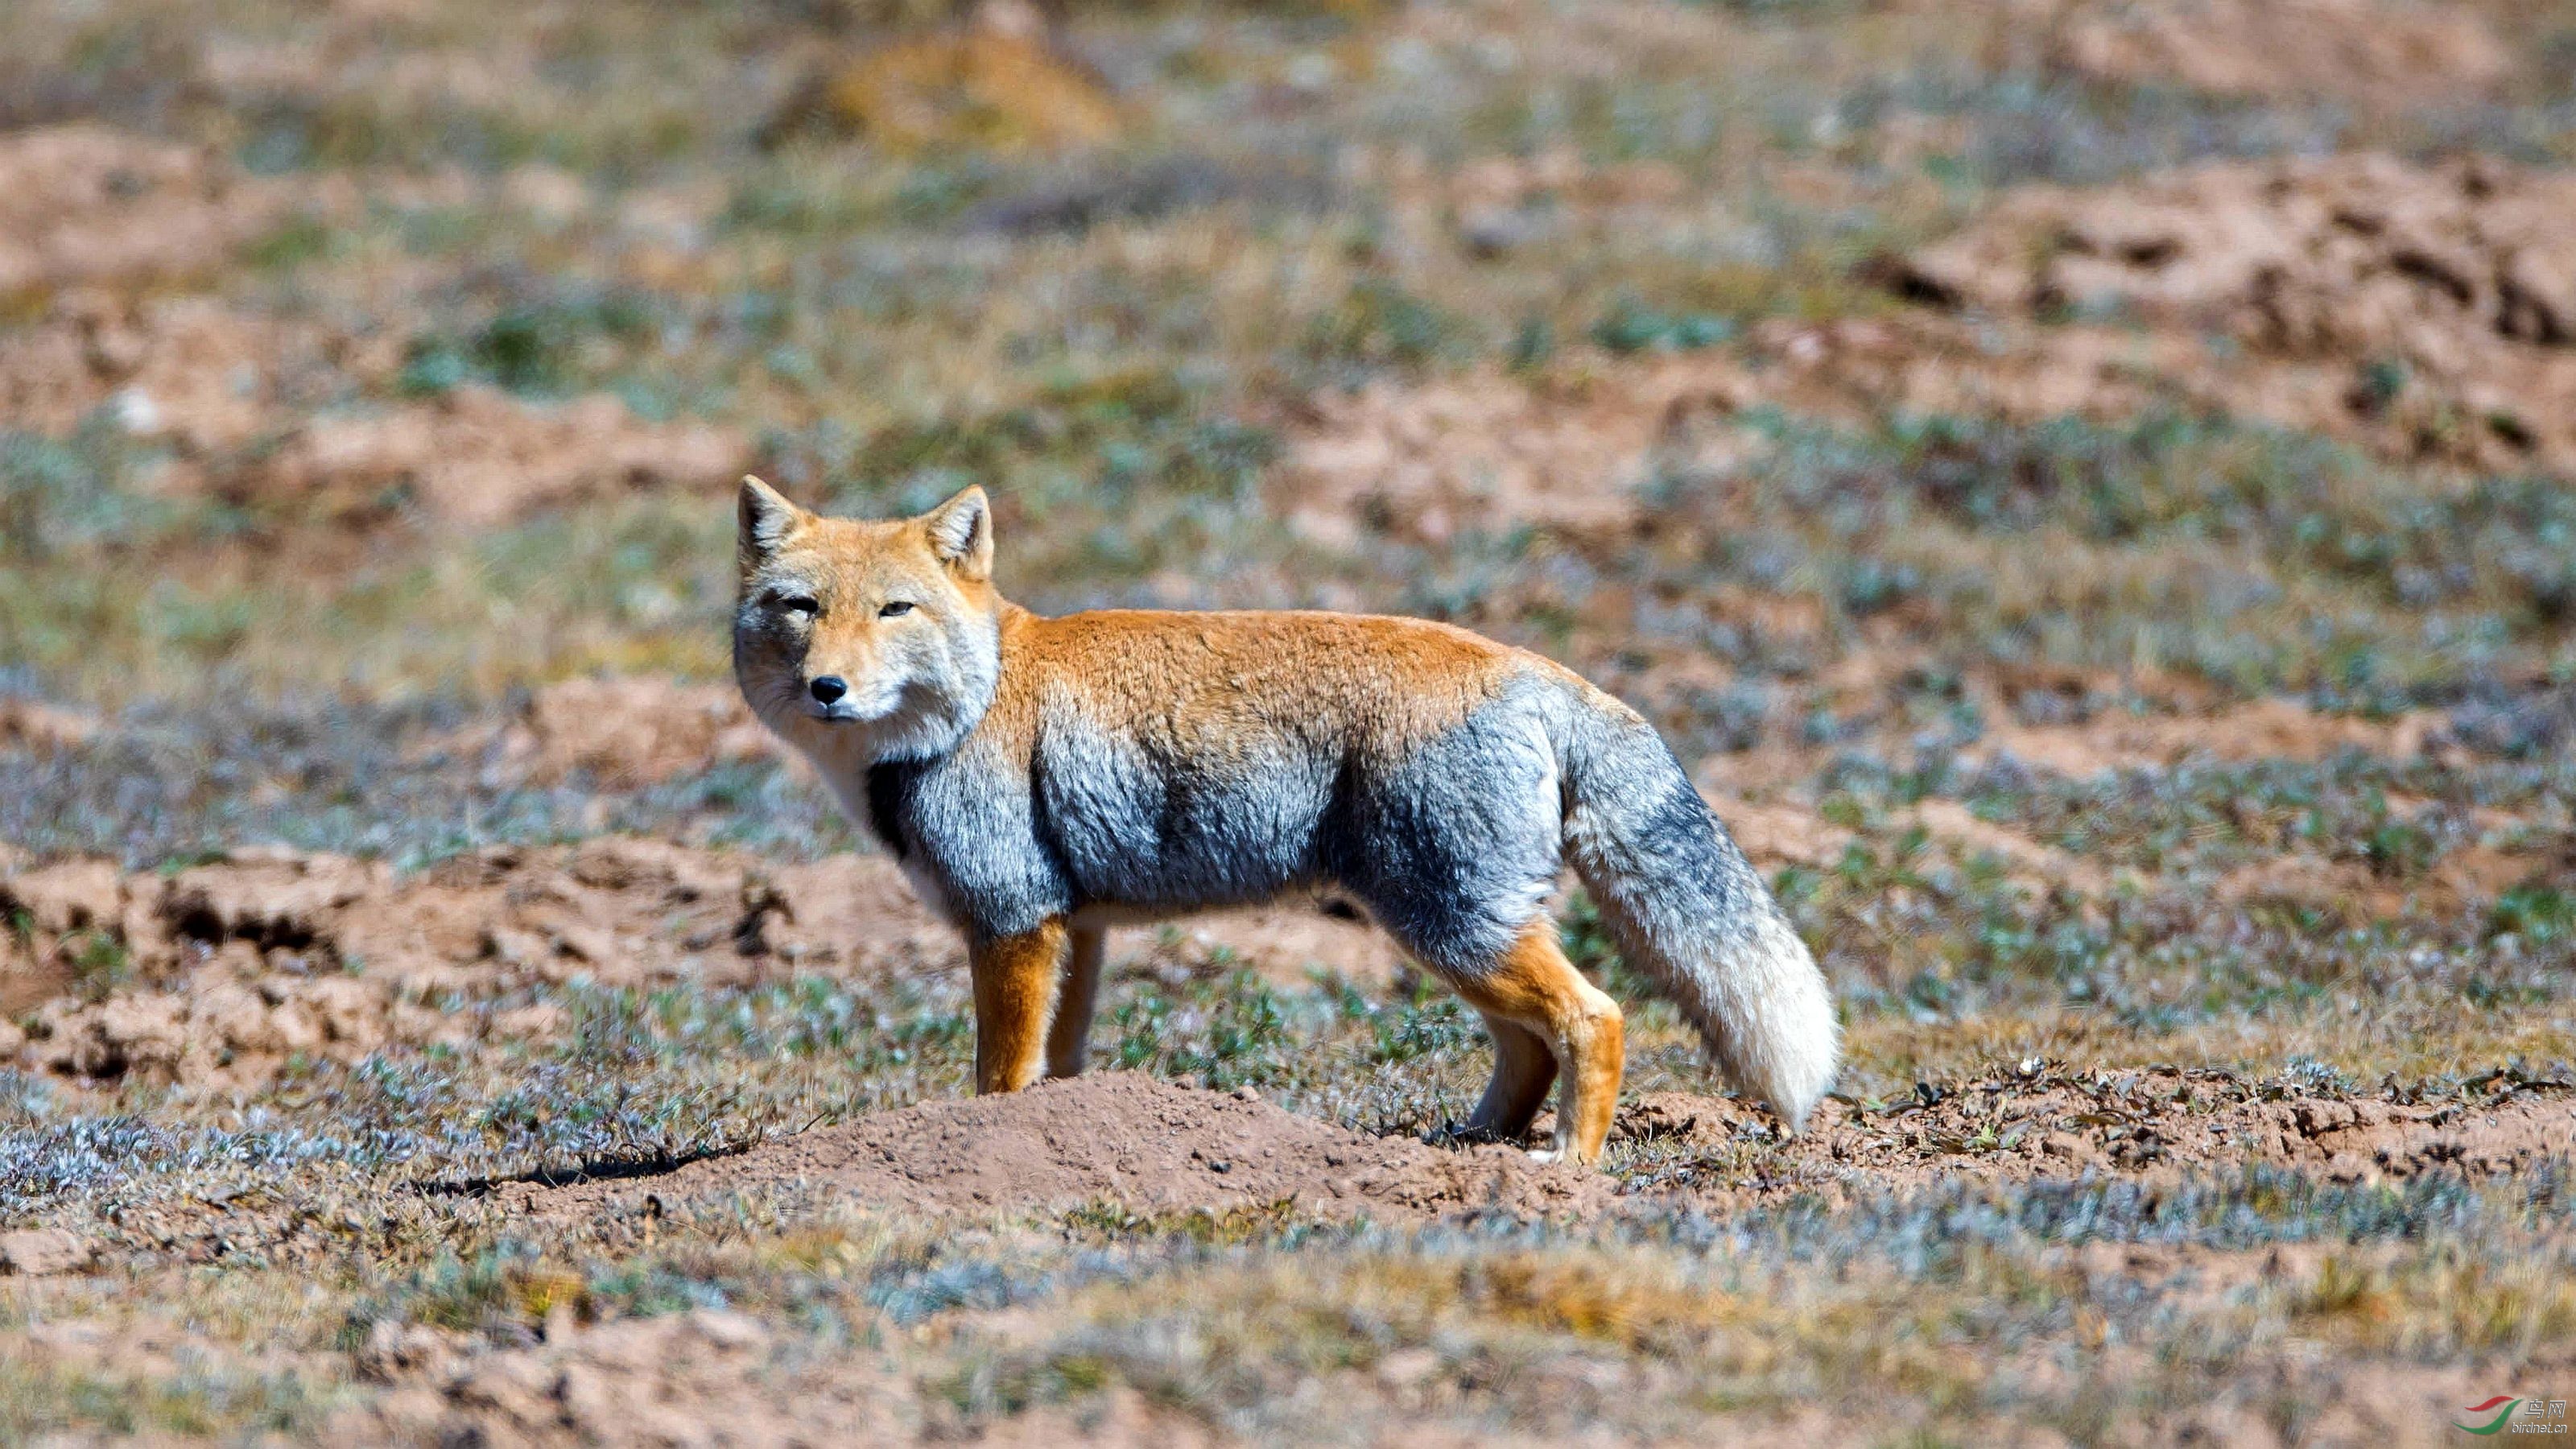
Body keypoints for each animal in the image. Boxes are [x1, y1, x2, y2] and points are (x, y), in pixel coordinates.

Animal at [737, 477, 1844, 1160]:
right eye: (798, 608)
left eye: (894, 612)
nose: (829, 688)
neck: (977, 696)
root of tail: (1532, 664)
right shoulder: (1075, 927)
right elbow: (1062, 1065)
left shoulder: (1010, 922)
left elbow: (999, 1077)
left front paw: (990, 1145)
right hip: (1454, 930)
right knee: (1527, 1045)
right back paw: (1470, 1151)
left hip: (1449, 923)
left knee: (1592, 1017)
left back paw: (1564, 1168)